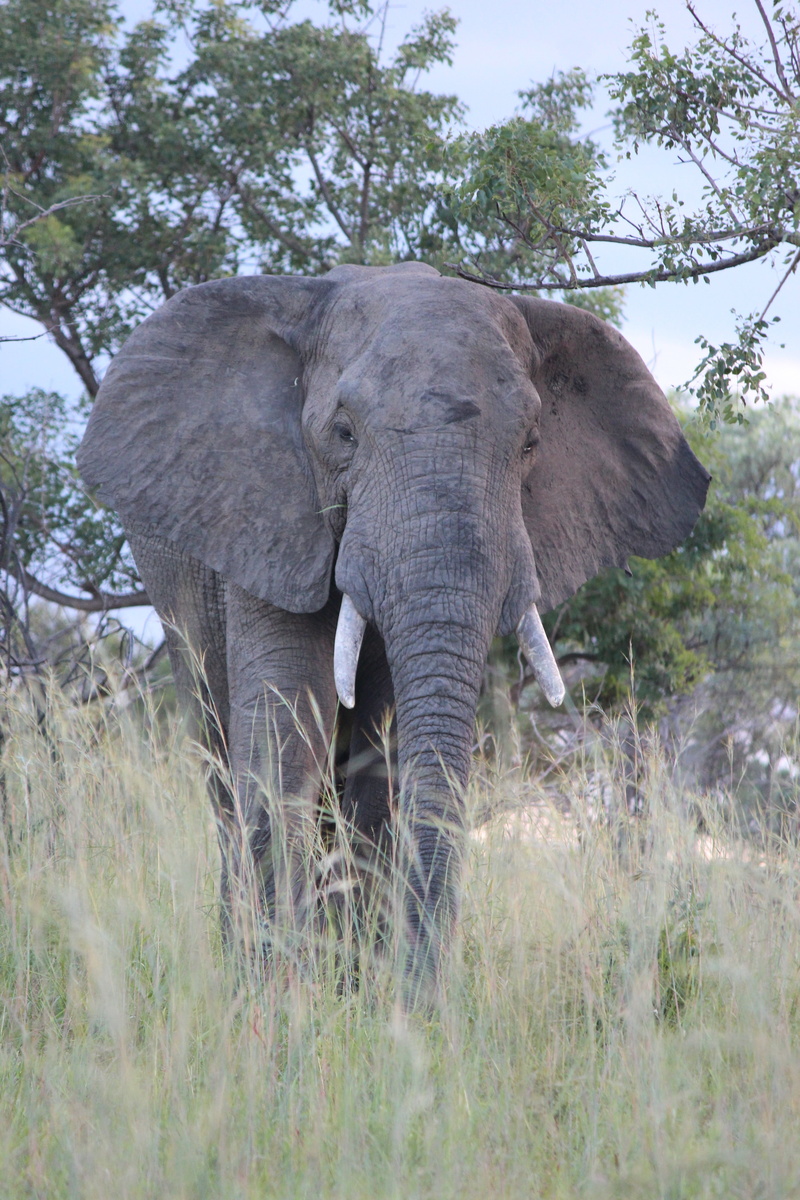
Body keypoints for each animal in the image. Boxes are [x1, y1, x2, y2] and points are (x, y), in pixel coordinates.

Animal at [77, 261, 709, 1002]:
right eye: (344, 433)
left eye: (530, 443)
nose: (429, 997)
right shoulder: (267, 512)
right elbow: (287, 729)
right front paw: (276, 997)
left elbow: (383, 755)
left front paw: (366, 998)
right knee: (219, 753)